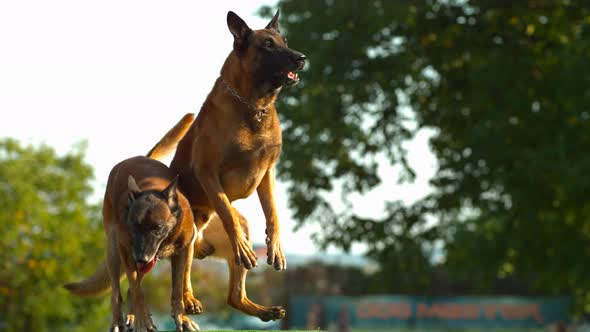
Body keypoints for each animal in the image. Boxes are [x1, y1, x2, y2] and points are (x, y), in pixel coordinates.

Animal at [63, 115, 200, 332]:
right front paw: (143, 321)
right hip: (114, 251)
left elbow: (176, 290)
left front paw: (181, 318)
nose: (142, 257)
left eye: (157, 228)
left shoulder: (182, 251)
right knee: (118, 292)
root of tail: (139, 156)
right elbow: (137, 291)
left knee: (129, 289)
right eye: (134, 227)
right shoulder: (128, 251)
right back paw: (119, 321)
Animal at [164, 9, 308, 322]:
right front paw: (243, 244)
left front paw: (275, 248)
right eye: (268, 45)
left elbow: (273, 214)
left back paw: (264, 310)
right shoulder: (207, 171)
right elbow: (226, 212)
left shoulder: (267, 173)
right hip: (186, 233)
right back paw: (189, 299)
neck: (254, 106)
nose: (302, 57)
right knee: (183, 277)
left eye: (284, 41)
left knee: (233, 297)